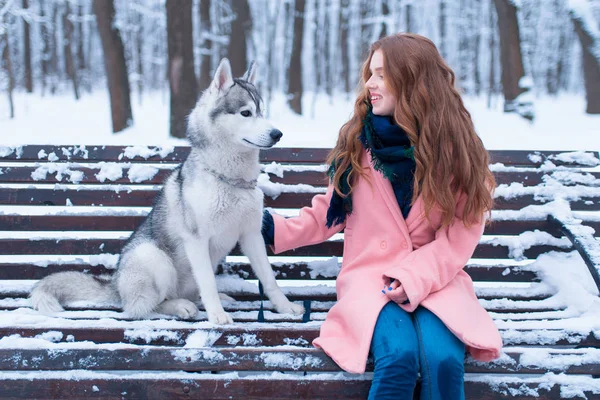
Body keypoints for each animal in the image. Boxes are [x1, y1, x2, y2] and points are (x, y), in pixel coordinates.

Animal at [29, 59, 304, 324]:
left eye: (262, 112)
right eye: (246, 113)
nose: (277, 134)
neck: (229, 179)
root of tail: (115, 285)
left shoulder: (251, 235)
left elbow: (269, 279)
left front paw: (285, 307)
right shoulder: (196, 240)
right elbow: (208, 284)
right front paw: (216, 316)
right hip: (153, 257)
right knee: (145, 306)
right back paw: (180, 306)